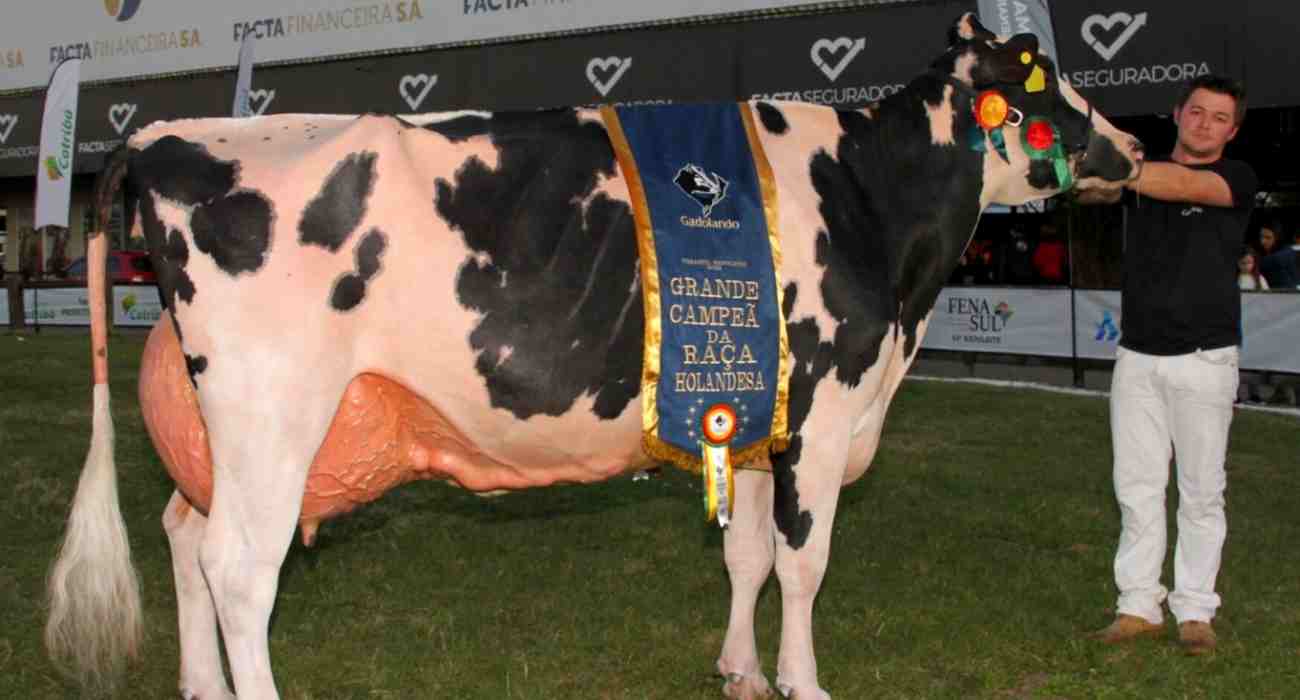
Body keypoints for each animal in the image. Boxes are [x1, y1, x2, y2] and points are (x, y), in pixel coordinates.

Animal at [48, 16, 1138, 697]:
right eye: (1044, 82)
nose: (1129, 149)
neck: (874, 205)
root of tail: (163, 134)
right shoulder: (824, 412)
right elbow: (802, 561)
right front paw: (803, 679)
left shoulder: (747, 412)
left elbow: (745, 553)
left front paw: (741, 671)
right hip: (272, 409)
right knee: (238, 566)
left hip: (221, 429)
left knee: (182, 533)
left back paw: (199, 685)